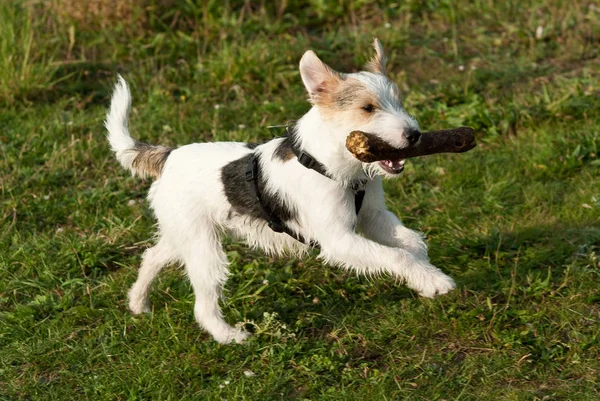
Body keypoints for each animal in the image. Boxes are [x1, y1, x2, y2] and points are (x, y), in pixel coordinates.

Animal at [106, 39, 454, 342]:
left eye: (398, 101)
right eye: (368, 108)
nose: (414, 135)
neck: (330, 162)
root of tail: (168, 156)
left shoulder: (373, 216)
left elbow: (412, 244)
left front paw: (425, 275)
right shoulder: (338, 240)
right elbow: (396, 256)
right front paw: (435, 282)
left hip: (184, 236)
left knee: (151, 256)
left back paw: (138, 302)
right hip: (203, 248)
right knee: (202, 305)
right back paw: (229, 336)